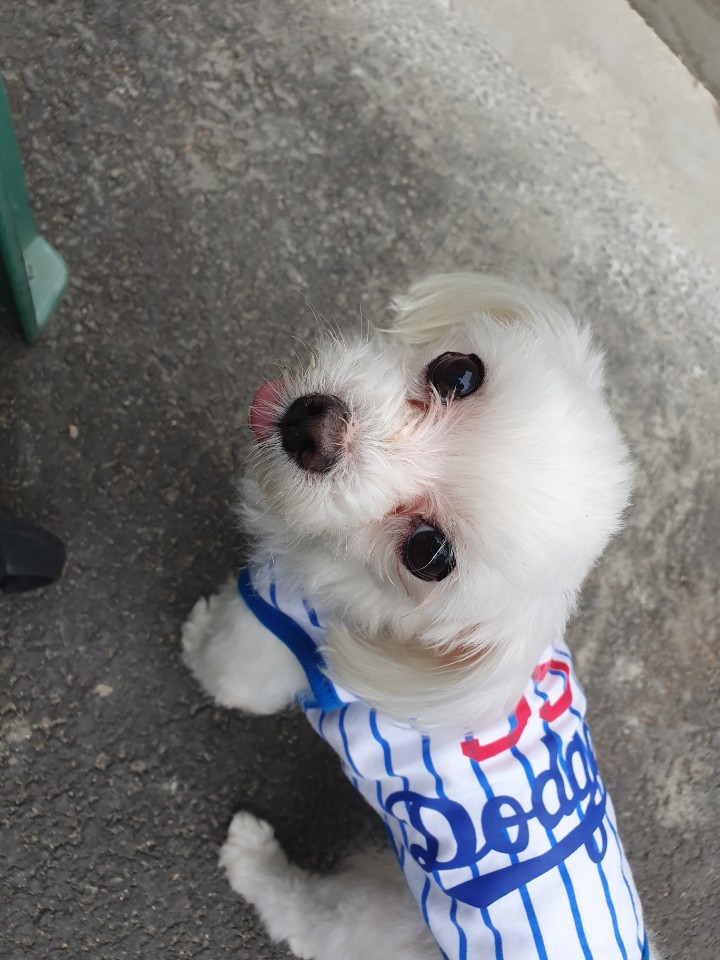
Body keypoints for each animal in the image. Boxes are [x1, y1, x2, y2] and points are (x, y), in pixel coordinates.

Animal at [182, 274, 656, 959]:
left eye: (428, 554)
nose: (312, 426)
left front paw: (196, 636)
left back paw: (253, 857)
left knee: (307, 920)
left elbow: (229, 674)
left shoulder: (281, 624)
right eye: (457, 372)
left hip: (369, 917)